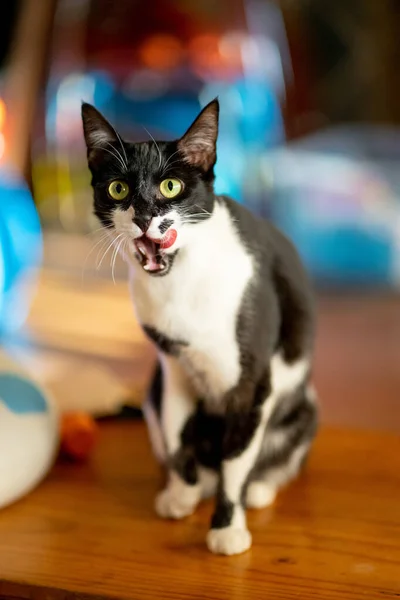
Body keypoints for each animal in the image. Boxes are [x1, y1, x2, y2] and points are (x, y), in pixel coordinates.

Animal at [82, 99, 318, 556]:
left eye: (171, 186)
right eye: (118, 189)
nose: (144, 215)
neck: (179, 278)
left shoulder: (251, 383)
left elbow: (236, 461)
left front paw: (227, 526)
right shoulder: (172, 368)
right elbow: (177, 434)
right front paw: (182, 493)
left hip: (304, 409)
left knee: (270, 456)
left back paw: (259, 488)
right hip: (151, 390)